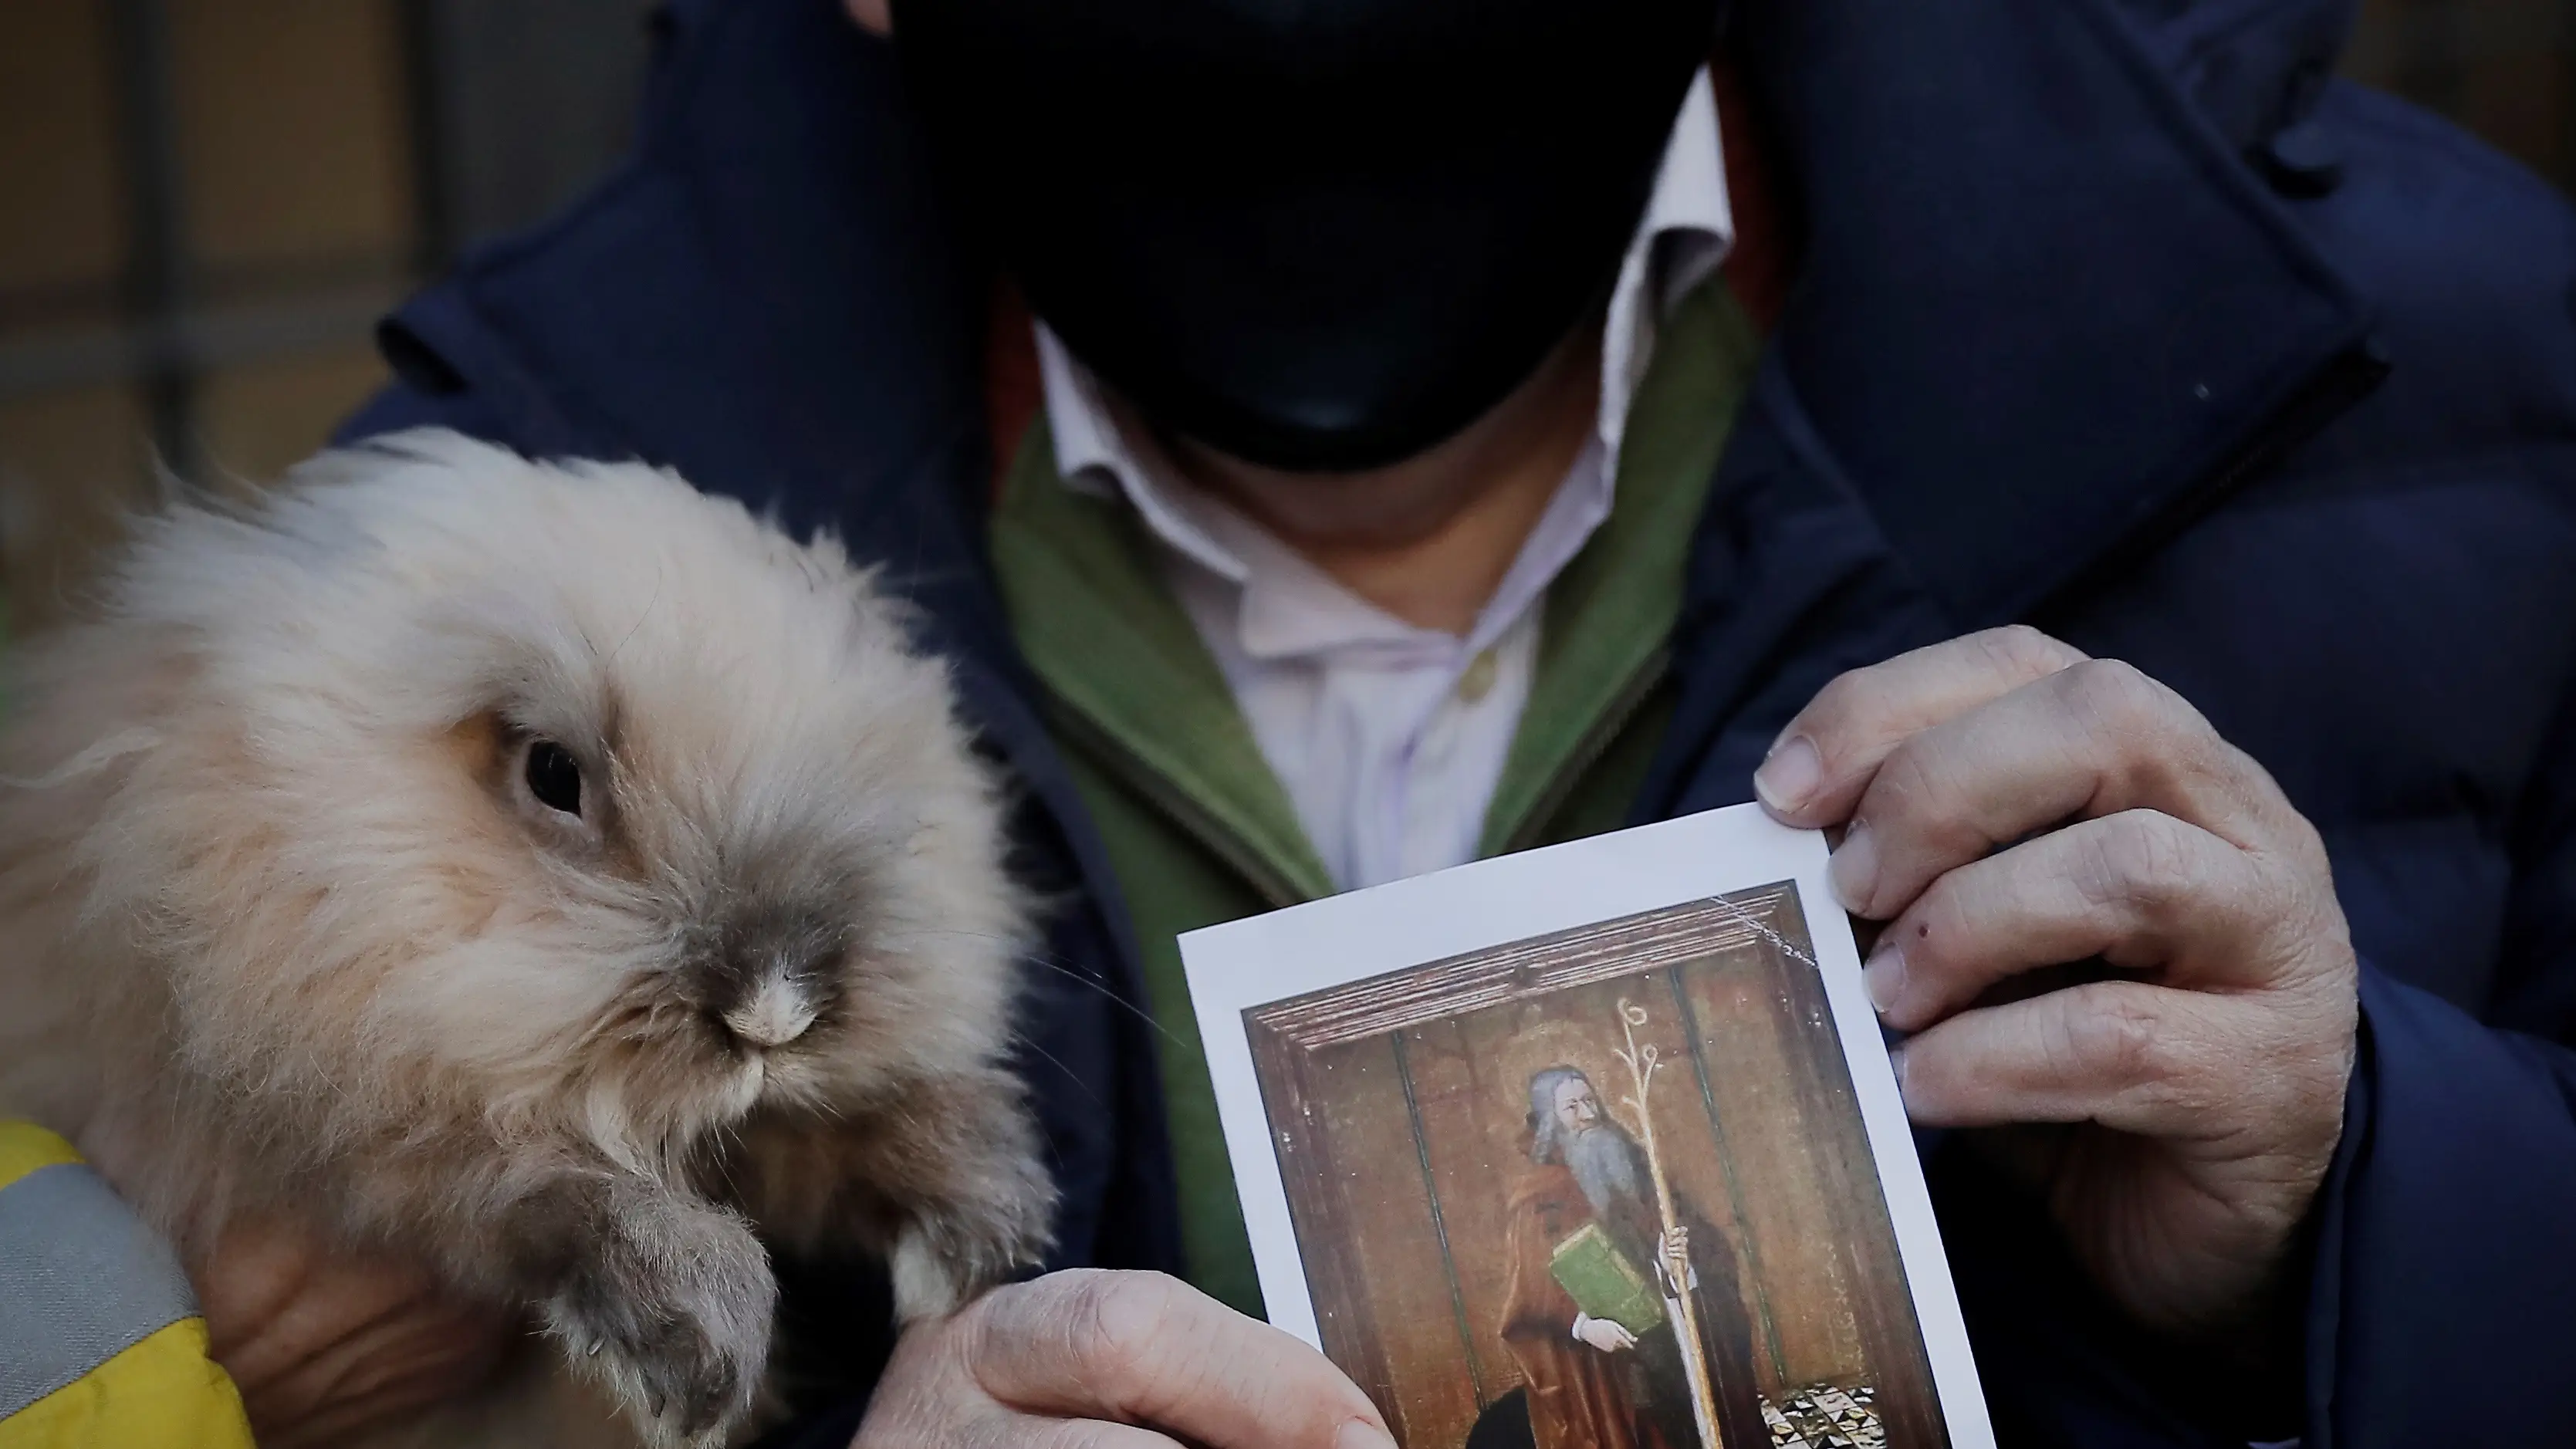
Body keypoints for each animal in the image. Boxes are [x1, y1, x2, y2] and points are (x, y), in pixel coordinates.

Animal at [0, 430, 1056, 1449]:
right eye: (552, 774)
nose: (773, 1013)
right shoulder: (334, 1115)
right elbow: (515, 1180)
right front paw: (697, 1340)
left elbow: (831, 1138)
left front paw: (979, 1223)